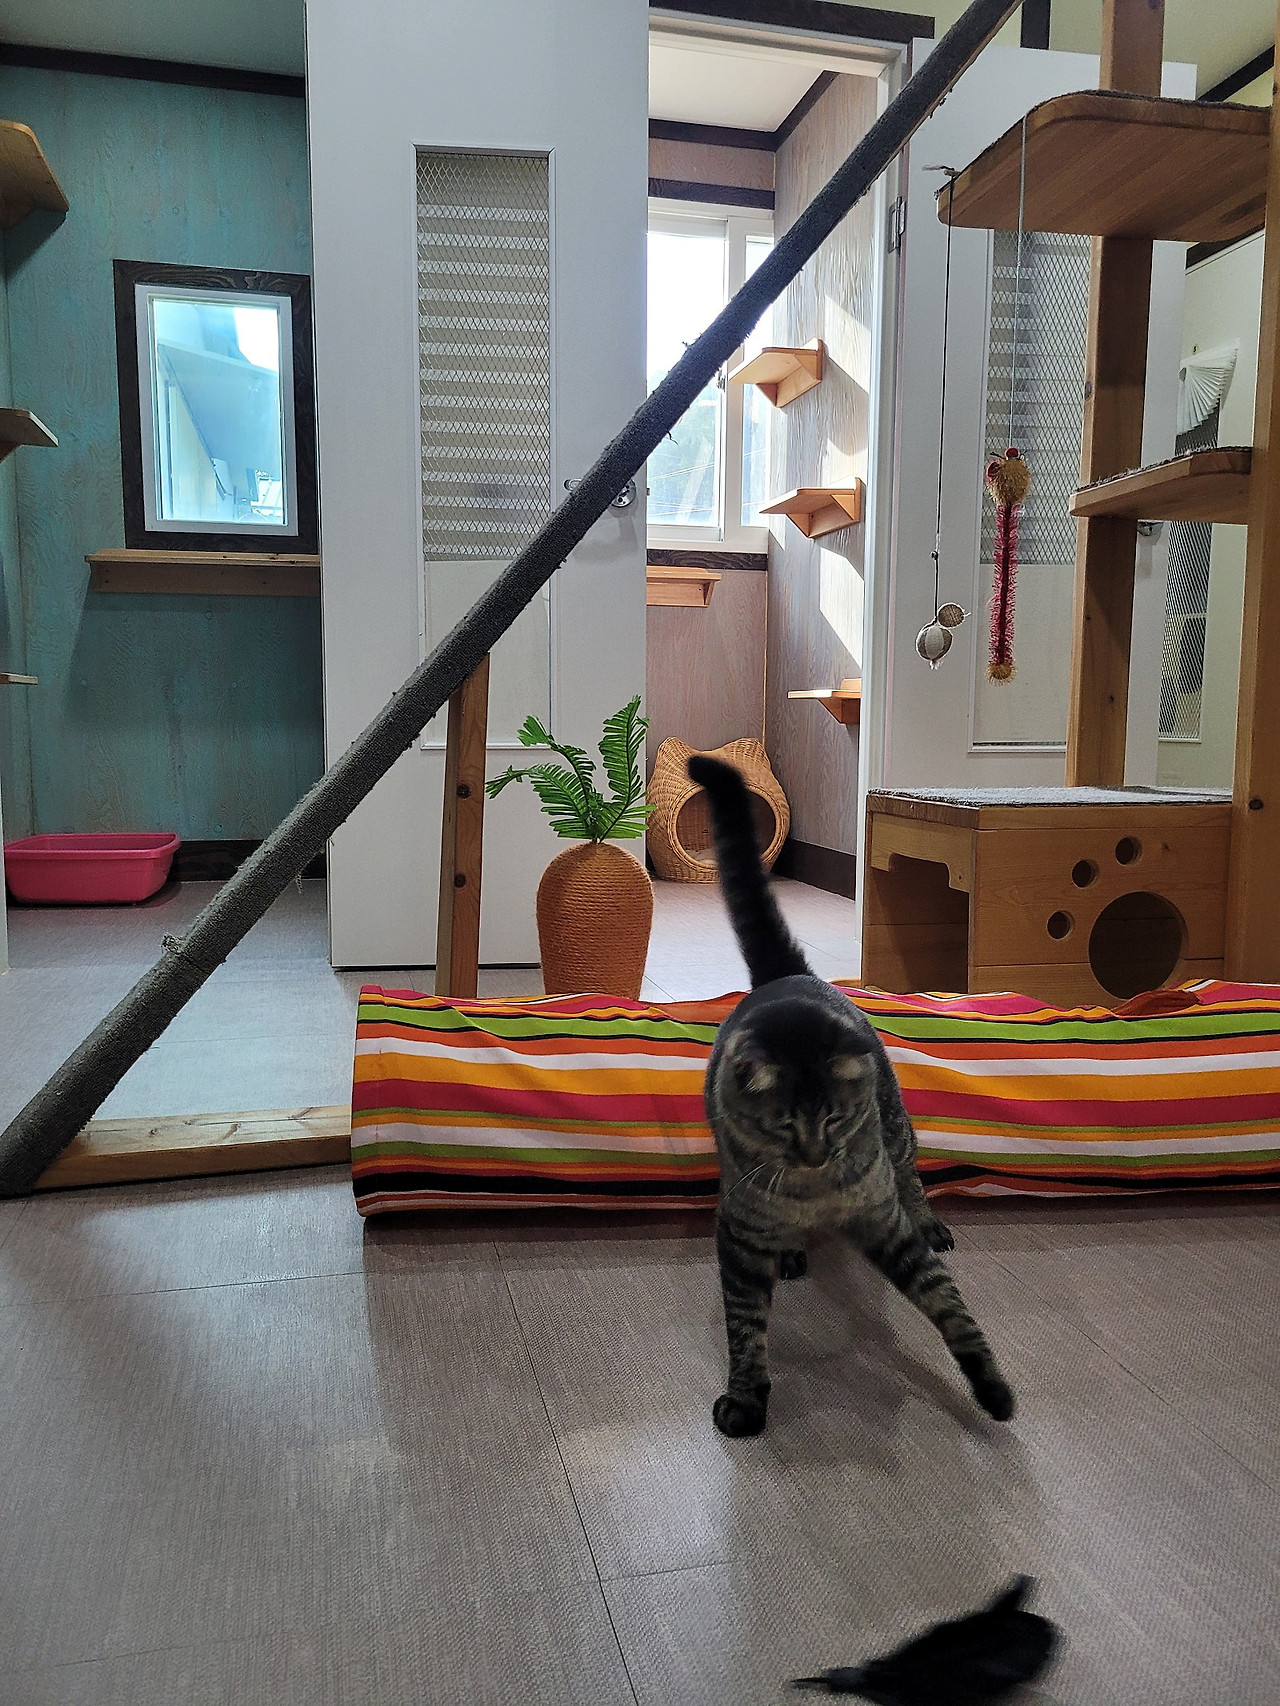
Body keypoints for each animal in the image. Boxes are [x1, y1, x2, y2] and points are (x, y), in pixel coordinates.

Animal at [687, 754, 1015, 1438]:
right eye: (783, 1126)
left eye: (836, 1120)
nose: (816, 1155)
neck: (815, 1195)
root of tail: (788, 977)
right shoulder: (739, 1234)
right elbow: (745, 1328)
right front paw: (745, 1401)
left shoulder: (883, 1223)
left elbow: (950, 1306)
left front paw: (993, 1391)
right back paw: (791, 1254)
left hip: (897, 1130)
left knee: (913, 1177)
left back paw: (929, 1220)